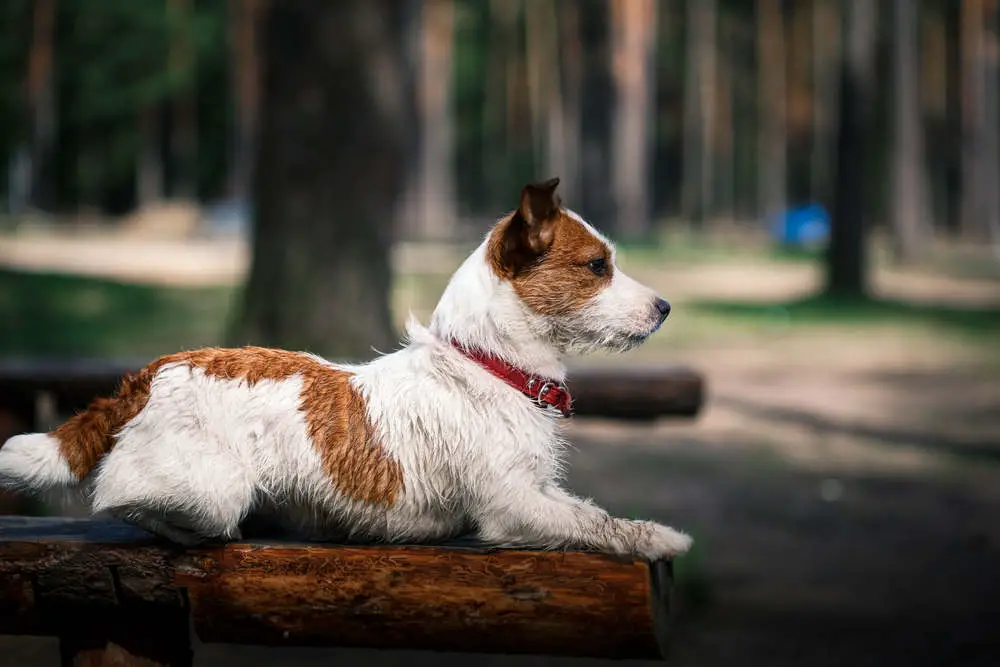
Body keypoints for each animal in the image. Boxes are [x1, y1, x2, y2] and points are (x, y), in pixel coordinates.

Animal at [0, 177, 692, 560]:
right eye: (598, 266)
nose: (666, 308)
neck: (487, 365)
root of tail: (152, 372)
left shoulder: (537, 489)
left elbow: (587, 509)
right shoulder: (513, 506)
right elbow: (593, 521)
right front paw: (660, 539)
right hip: (211, 490)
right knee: (120, 497)